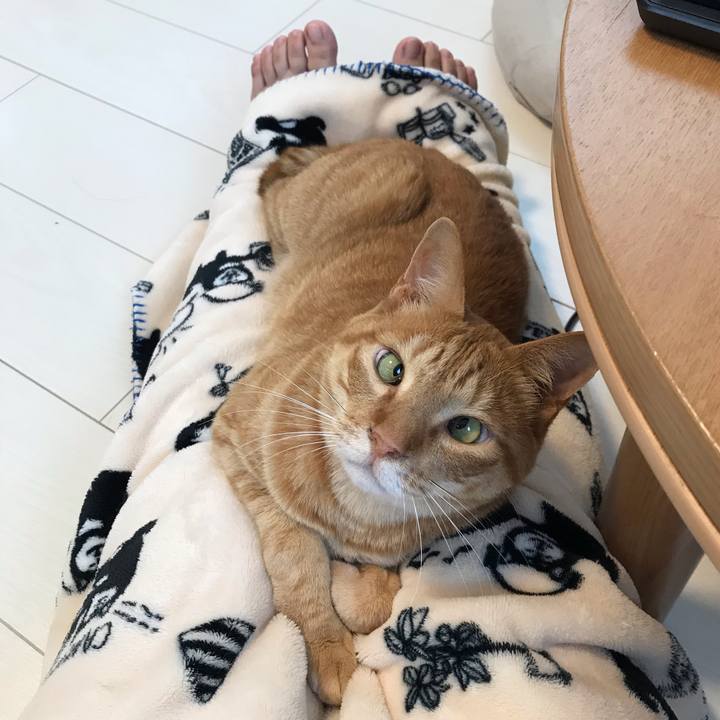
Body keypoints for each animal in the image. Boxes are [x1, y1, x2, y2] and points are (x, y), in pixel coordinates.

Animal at [212, 138, 597, 705]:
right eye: (391, 368)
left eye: (466, 430)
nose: (383, 442)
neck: (355, 517)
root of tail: (410, 145)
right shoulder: (234, 442)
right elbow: (296, 558)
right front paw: (327, 645)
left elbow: (376, 598)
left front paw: (354, 587)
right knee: (273, 175)